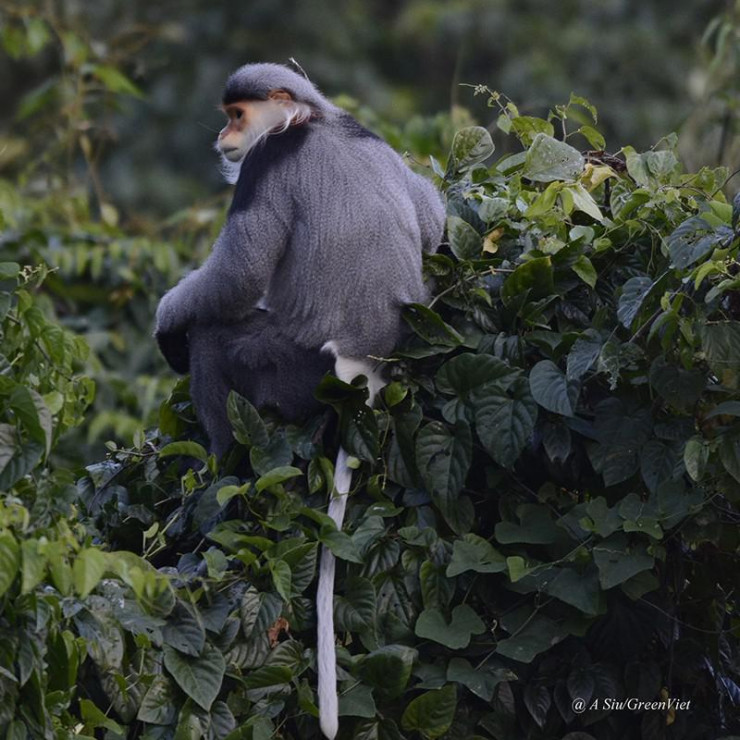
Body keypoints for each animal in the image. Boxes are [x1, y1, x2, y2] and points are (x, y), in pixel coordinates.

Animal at [155, 65, 446, 740]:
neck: (309, 122)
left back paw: (219, 468)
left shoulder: (267, 160)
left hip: (292, 370)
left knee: (214, 339)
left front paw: (166, 323)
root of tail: (367, 372)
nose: (222, 136)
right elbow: (432, 214)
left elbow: (239, 274)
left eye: (237, 116)